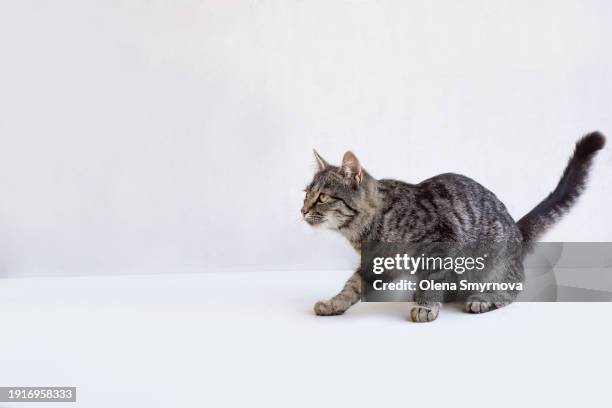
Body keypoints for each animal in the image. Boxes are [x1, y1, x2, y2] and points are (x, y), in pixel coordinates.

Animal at [298, 133, 604, 322]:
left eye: (322, 197)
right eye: (306, 193)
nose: (302, 210)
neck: (366, 230)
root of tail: (517, 232)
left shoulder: (440, 243)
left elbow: (429, 279)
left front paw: (425, 305)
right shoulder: (377, 264)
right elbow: (352, 286)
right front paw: (334, 303)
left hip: (492, 266)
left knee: (512, 289)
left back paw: (483, 298)